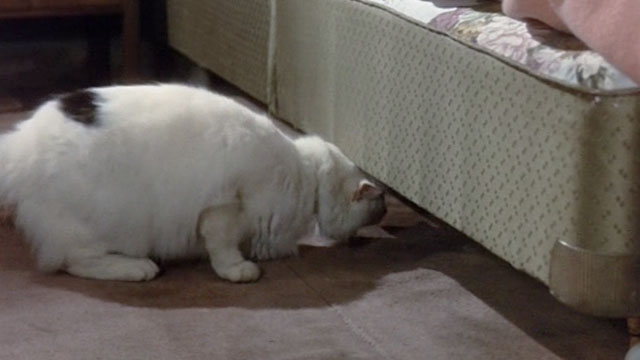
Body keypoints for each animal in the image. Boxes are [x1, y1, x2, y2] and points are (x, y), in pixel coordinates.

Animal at [0, 83, 384, 282]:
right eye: (378, 208)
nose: (382, 217)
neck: (305, 173)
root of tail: (20, 142)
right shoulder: (224, 208)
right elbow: (223, 249)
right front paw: (238, 269)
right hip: (92, 227)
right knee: (74, 262)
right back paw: (137, 268)